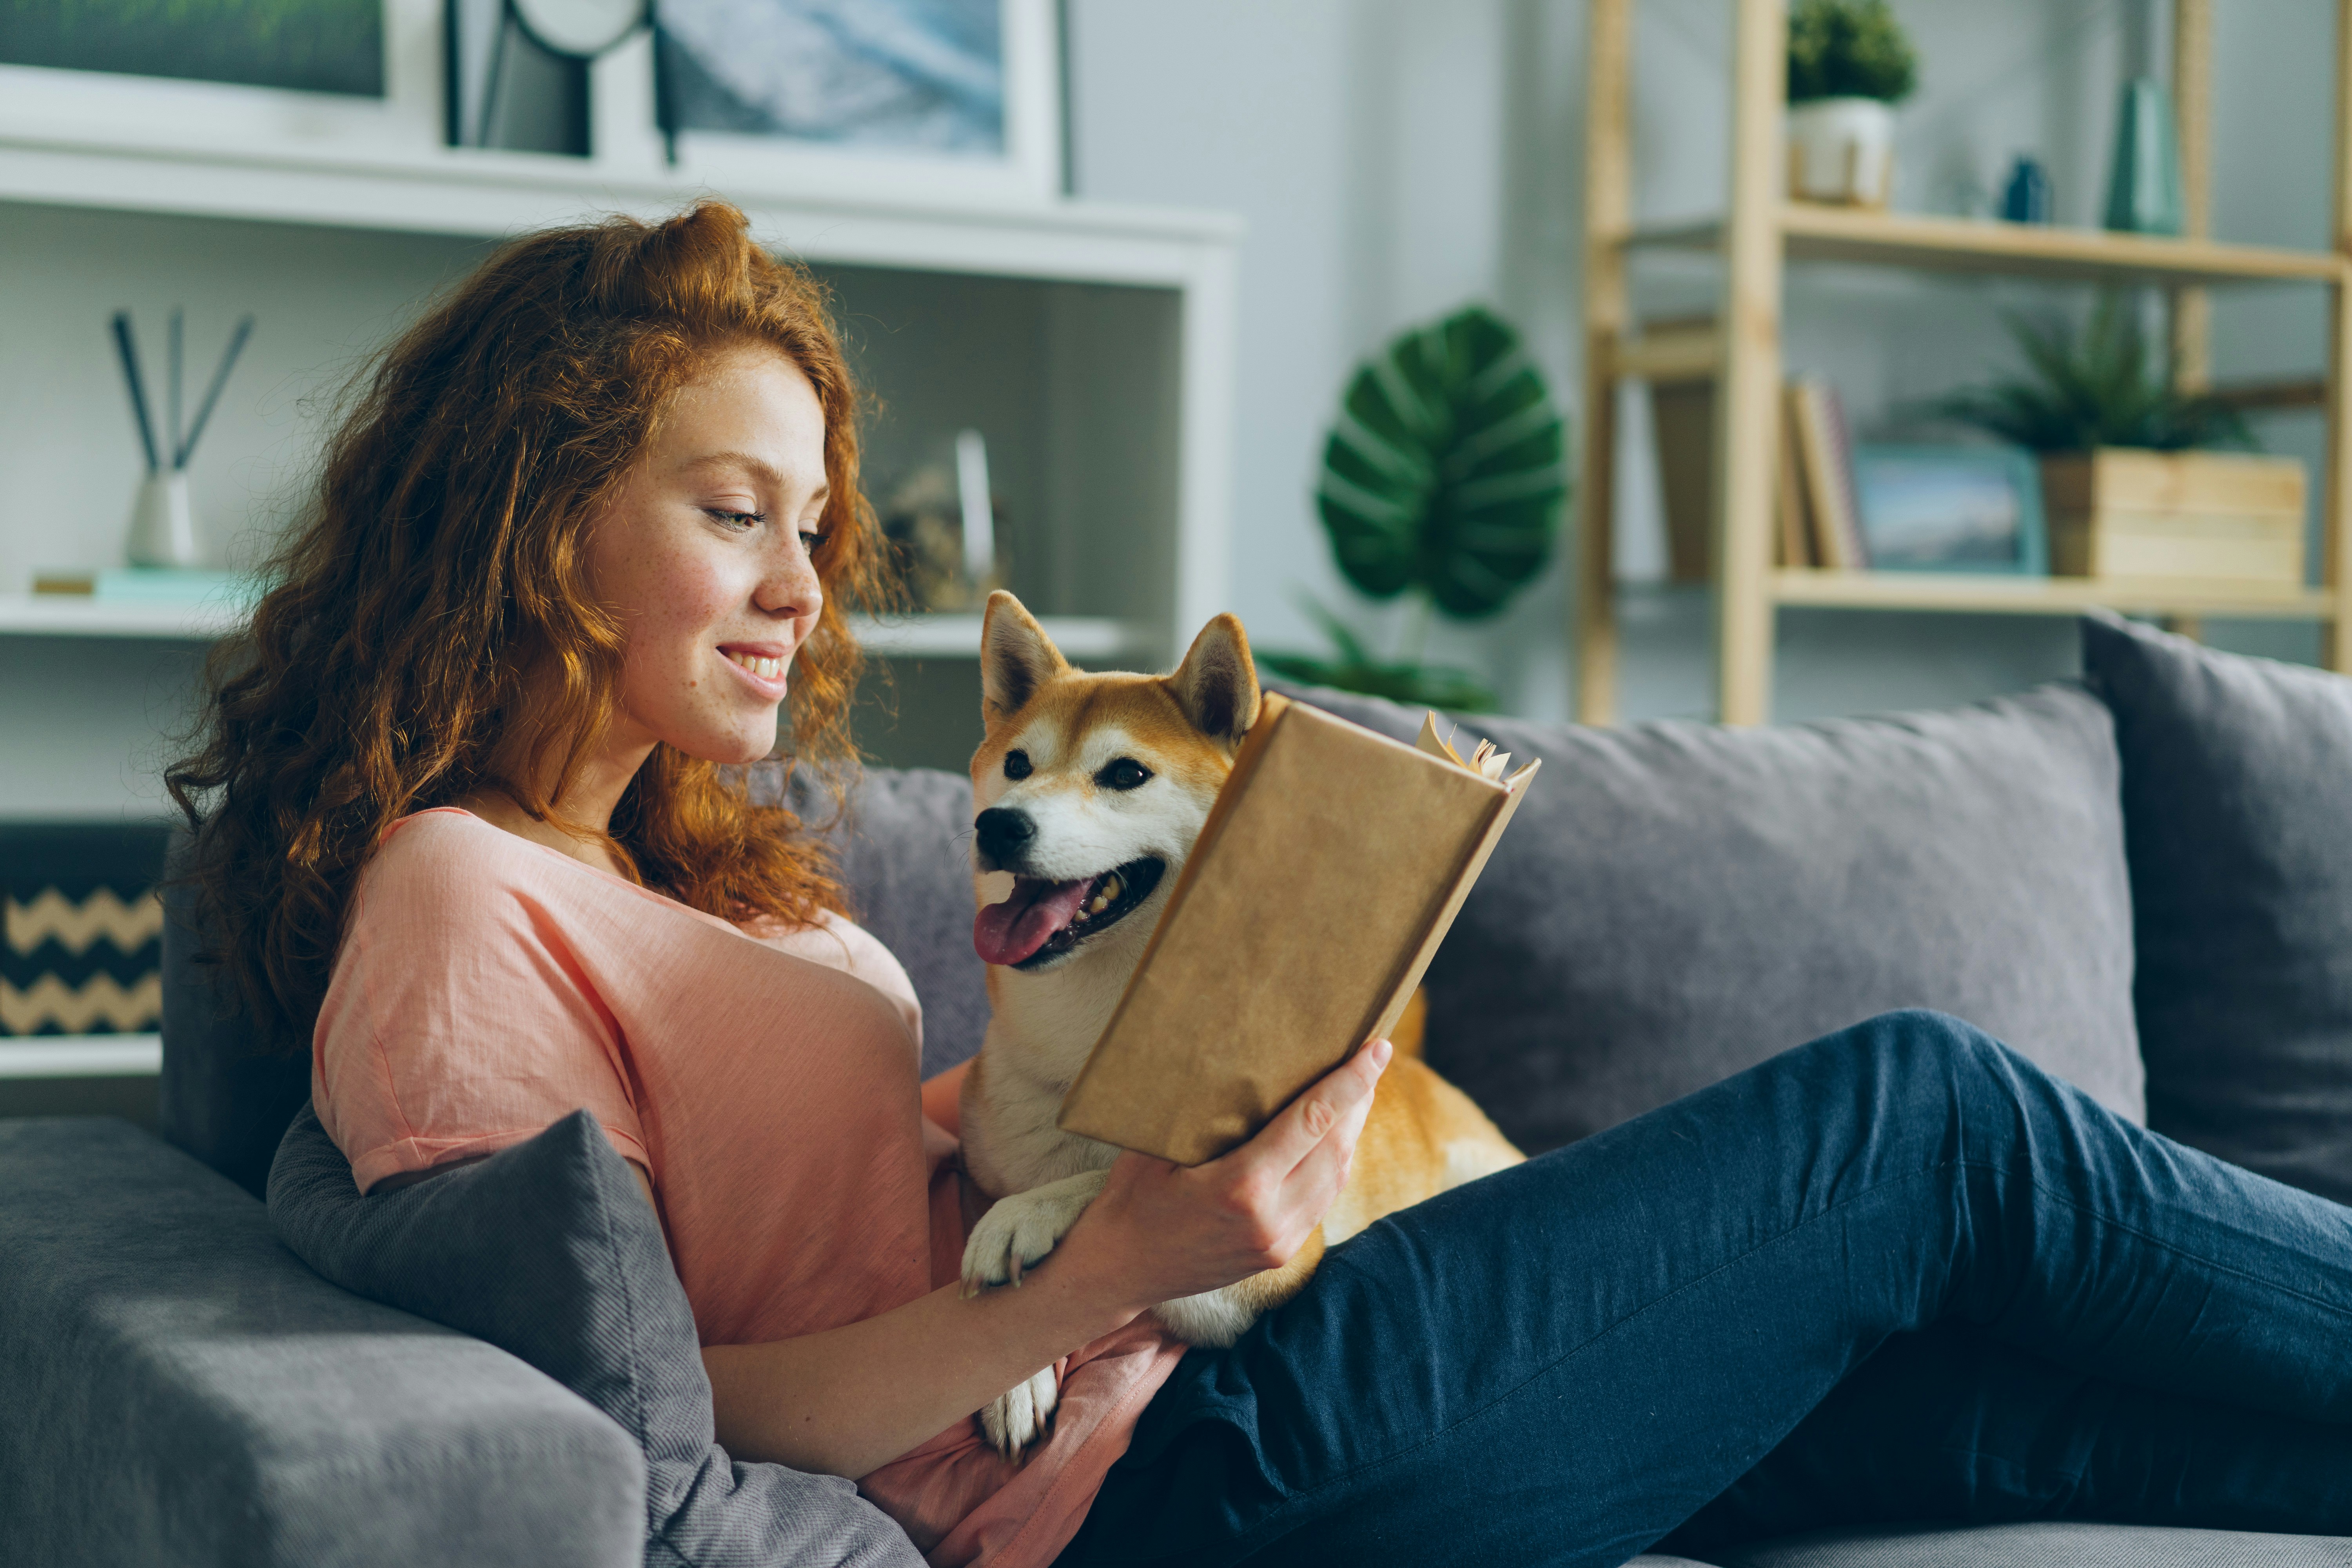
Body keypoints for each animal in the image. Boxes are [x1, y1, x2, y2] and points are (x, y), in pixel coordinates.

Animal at [960, 592, 1524, 1457]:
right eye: (1018, 764)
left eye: (1126, 774)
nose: (1000, 824)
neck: (1086, 1062)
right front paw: (1012, 1374)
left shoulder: (1265, 1265)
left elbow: (1105, 1192)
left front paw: (1027, 1216)